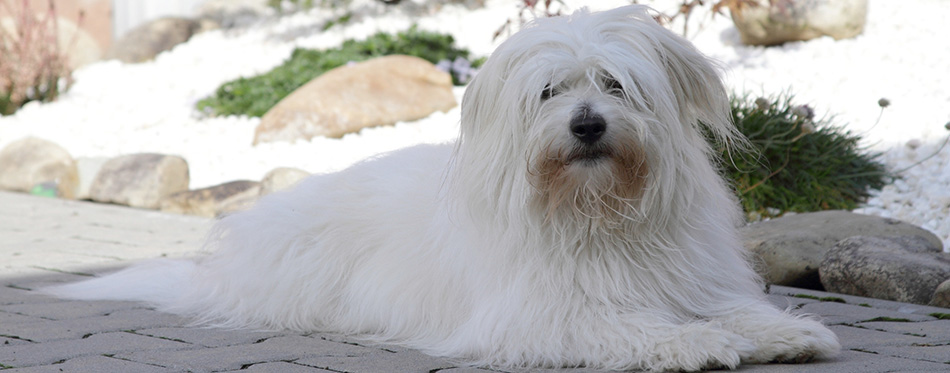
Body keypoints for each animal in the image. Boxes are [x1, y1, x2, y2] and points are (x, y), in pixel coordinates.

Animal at [50, 5, 840, 370]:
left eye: (616, 84)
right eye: (549, 91)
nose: (586, 124)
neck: (595, 209)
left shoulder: (687, 274)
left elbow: (729, 307)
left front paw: (785, 330)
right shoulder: (541, 314)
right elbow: (628, 324)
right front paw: (691, 342)